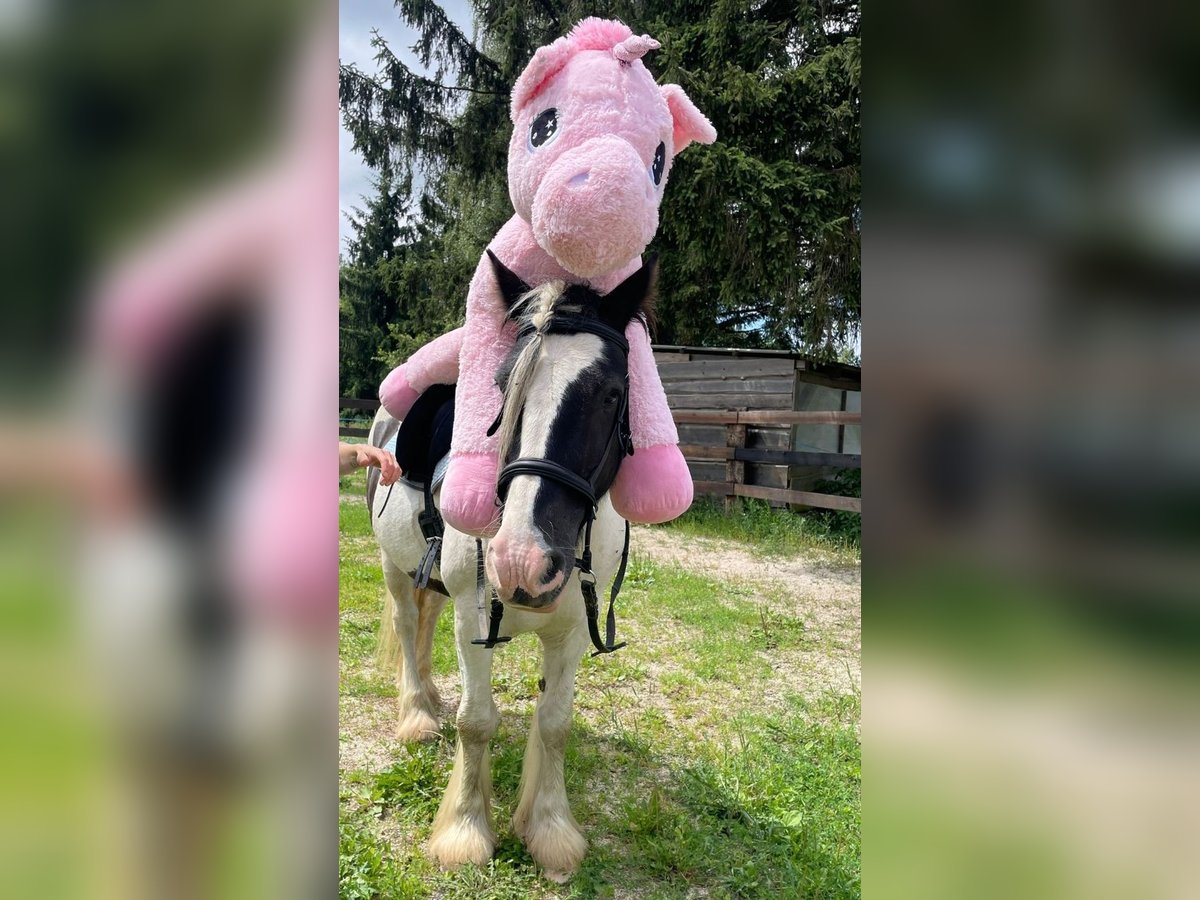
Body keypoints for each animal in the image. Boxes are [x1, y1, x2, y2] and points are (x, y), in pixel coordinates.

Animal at [372, 254, 662, 883]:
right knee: (408, 626)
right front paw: (464, 831)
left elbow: (554, 723)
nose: (521, 562)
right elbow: (477, 721)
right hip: (393, 567)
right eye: (503, 388)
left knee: (425, 623)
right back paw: (417, 712)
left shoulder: (573, 628)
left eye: (612, 394)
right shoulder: (474, 617)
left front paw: (549, 830)